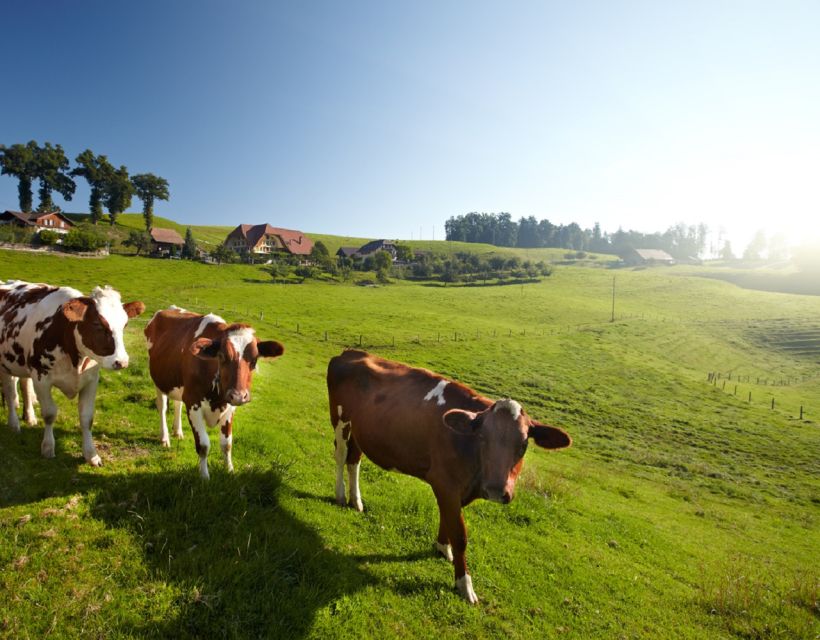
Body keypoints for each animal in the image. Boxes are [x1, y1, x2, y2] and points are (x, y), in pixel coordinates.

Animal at [0, 280, 146, 464]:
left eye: (124, 324)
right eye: (97, 324)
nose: (122, 362)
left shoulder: (91, 380)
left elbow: (87, 417)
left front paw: (91, 454)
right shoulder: (41, 379)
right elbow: (49, 414)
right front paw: (48, 448)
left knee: (24, 385)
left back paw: (30, 417)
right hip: (6, 364)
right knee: (10, 391)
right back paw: (14, 424)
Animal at [146, 308, 286, 478]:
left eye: (254, 360)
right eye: (223, 356)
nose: (239, 396)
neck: (218, 399)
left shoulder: (230, 407)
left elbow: (227, 444)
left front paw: (230, 470)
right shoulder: (193, 403)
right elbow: (203, 445)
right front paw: (204, 477)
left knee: (177, 404)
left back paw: (178, 432)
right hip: (159, 381)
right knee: (162, 407)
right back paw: (165, 438)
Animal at [326, 350, 572, 604]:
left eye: (523, 444)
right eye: (482, 437)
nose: (496, 489)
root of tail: (351, 352)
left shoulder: (455, 488)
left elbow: (448, 519)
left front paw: (443, 547)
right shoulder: (445, 482)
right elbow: (460, 535)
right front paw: (464, 583)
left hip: (361, 429)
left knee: (354, 460)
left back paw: (356, 501)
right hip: (340, 419)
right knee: (341, 456)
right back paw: (341, 496)